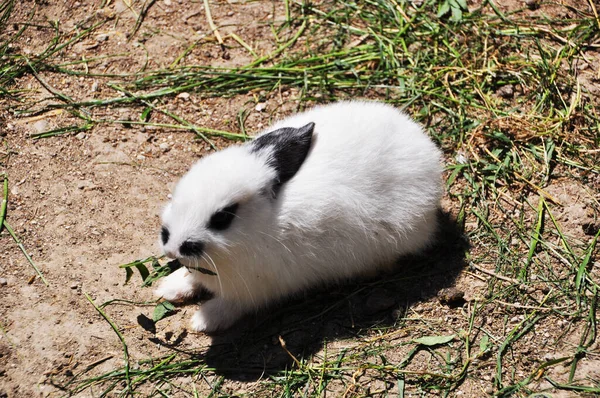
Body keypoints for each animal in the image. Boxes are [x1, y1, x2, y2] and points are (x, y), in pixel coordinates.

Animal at [157, 101, 442, 332]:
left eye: (223, 217)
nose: (173, 248)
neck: (260, 225)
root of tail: (429, 156)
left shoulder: (253, 291)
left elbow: (229, 305)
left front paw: (202, 321)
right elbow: (191, 279)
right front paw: (167, 287)